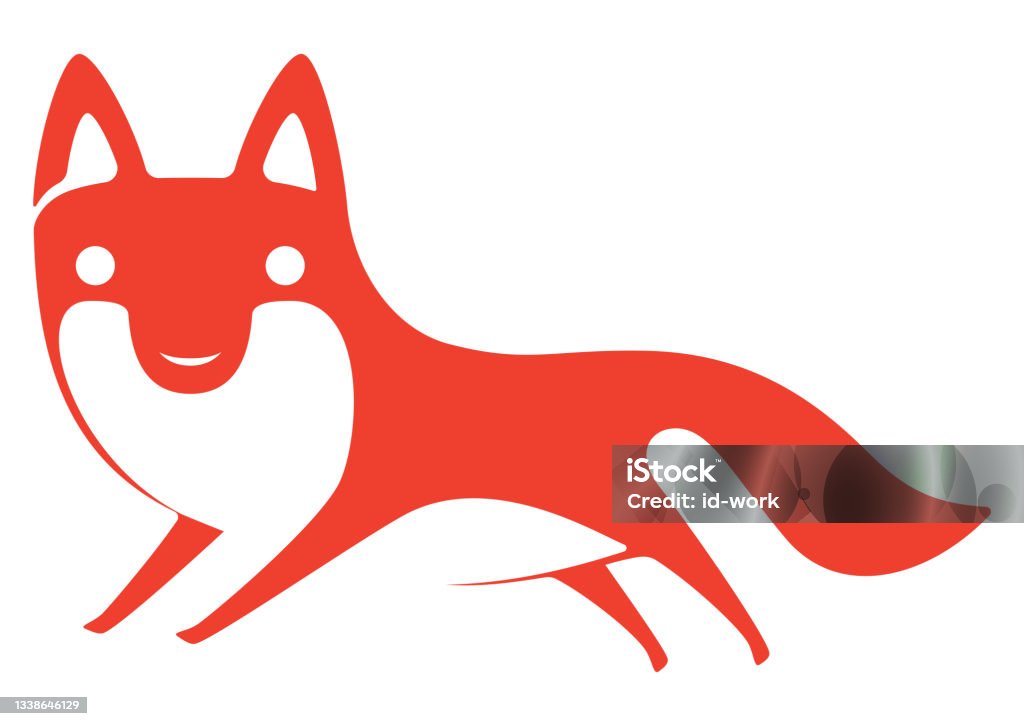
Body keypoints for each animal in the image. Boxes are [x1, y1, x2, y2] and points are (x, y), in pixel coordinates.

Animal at [33, 54, 985, 671]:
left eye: (279, 268)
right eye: (103, 266)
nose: (191, 347)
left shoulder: (334, 519)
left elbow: (243, 595)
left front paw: (193, 637)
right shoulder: (203, 526)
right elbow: (150, 581)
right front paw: (105, 629)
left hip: (656, 537)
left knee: (723, 592)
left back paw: (749, 660)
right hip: (584, 559)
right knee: (641, 613)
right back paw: (660, 667)